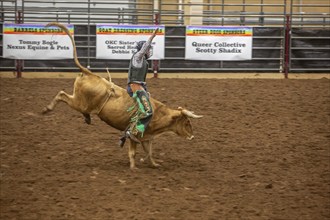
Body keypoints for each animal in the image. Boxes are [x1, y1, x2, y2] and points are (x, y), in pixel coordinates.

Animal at [42, 22, 202, 169]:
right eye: (187, 122)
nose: (193, 136)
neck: (159, 114)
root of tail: (90, 73)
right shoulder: (135, 134)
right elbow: (133, 152)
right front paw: (133, 167)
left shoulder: (147, 137)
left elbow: (149, 152)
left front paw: (155, 164)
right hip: (80, 102)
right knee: (62, 95)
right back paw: (47, 109)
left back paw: (86, 118)